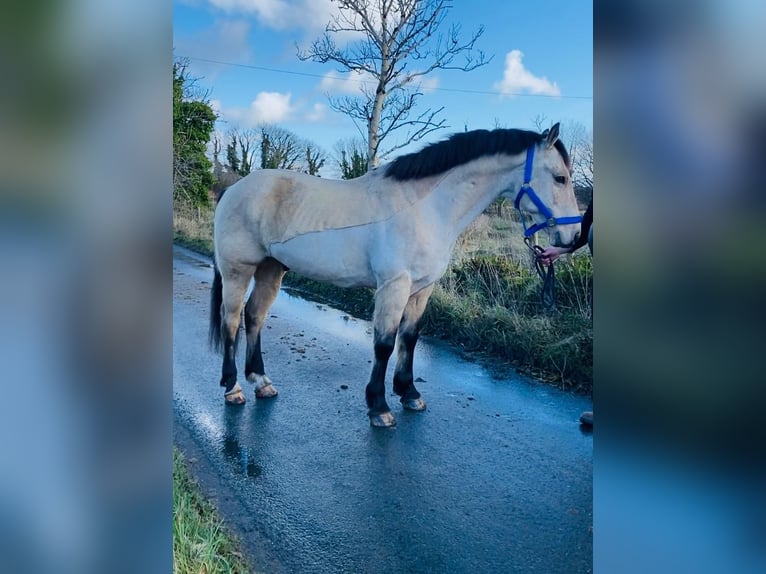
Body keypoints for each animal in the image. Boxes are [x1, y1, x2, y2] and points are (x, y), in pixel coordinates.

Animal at [210, 122, 584, 428]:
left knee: (254, 316)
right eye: (560, 178)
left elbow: (410, 338)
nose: (573, 237)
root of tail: (233, 190)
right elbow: (384, 345)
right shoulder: (394, 286)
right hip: (237, 270)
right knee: (232, 320)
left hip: (271, 268)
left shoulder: (422, 289)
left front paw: (409, 393)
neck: (426, 208)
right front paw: (379, 407)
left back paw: (262, 382)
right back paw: (233, 388)